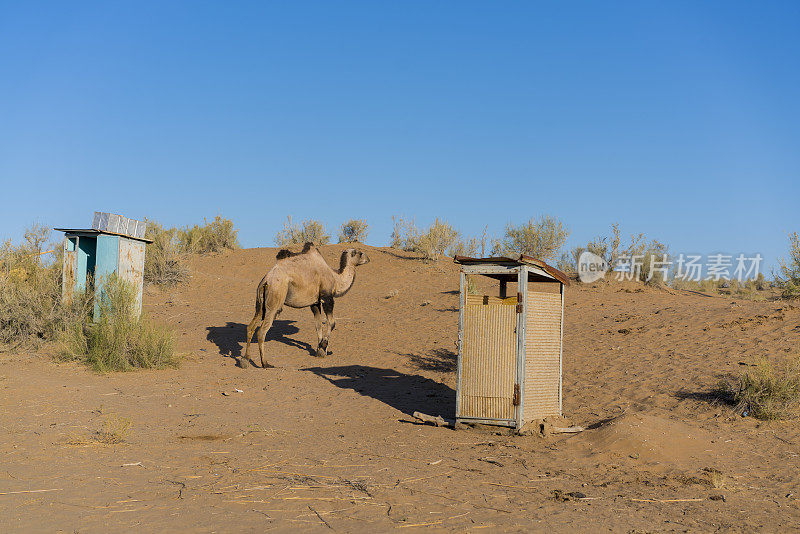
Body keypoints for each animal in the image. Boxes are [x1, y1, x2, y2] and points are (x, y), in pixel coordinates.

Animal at [242, 243, 370, 368]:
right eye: (360, 253)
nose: (368, 258)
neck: (336, 278)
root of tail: (266, 280)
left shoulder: (315, 303)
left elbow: (318, 325)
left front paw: (320, 350)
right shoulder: (327, 298)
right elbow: (332, 323)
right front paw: (323, 347)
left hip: (260, 304)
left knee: (251, 327)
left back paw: (245, 360)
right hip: (275, 301)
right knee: (262, 331)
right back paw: (265, 363)